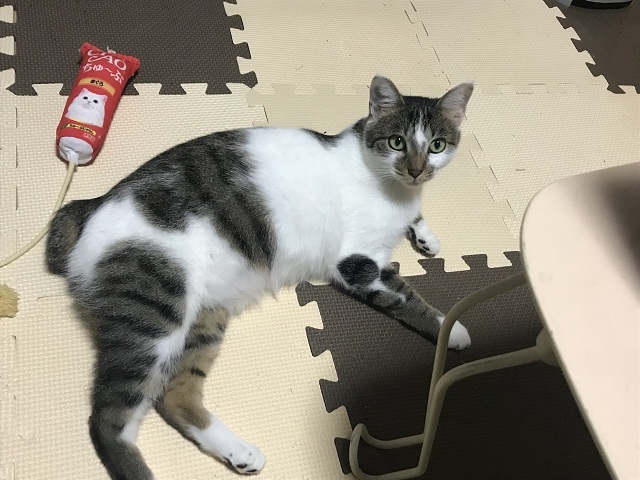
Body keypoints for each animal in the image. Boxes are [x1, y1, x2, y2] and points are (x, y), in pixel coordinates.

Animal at [45, 76, 473, 479]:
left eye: (437, 146)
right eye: (397, 142)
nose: (416, 171)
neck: (391, 185)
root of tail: (89, 207)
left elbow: (417, 220)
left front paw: (426, 236)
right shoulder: (357, 263)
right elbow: (408, 299)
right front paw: (452, 330)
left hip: (205, 317)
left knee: (174, 395)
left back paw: (239, 453)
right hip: (154, 309)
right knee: (107, 419)